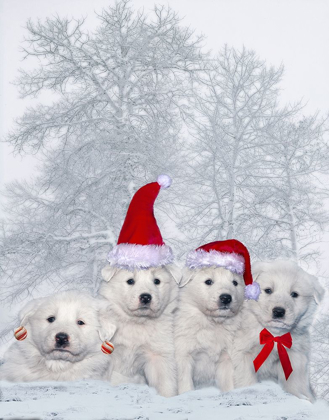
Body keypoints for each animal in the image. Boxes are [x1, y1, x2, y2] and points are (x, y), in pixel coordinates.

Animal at [98, 264, 179, 398]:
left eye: (157, 281)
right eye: (130, 281)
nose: (146, 297)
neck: (137, 322)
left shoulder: (158, 355)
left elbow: (165, 382)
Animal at [176, 266, 245, 394]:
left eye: (235, 283)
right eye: (208, 281)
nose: (226, 298)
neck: (213, 323)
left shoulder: (226, 358)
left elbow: (229, 384)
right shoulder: (183, 356)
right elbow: (186, 384)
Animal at [231, 260, 322, 402]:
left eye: (294, 294)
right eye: (268, 290)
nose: (279, 311)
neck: (273, 334)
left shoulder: (295, 356)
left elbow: (294, 384)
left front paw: (302, 399)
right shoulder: (242, 354)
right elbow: (247, 380)